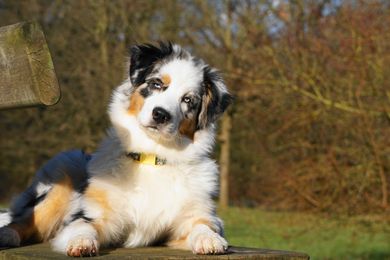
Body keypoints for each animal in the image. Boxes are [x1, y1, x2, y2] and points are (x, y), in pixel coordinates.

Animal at [0, 42, 232, 256]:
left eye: (188, 100)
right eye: (157, 83)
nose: (160, 114)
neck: (152, 155)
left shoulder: (196, 216)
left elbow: (204, 225)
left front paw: (210, 240)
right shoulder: (92, 214)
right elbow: (83, 227)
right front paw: (81, 243)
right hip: (64, 172)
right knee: (25, 220)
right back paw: (7, 234)